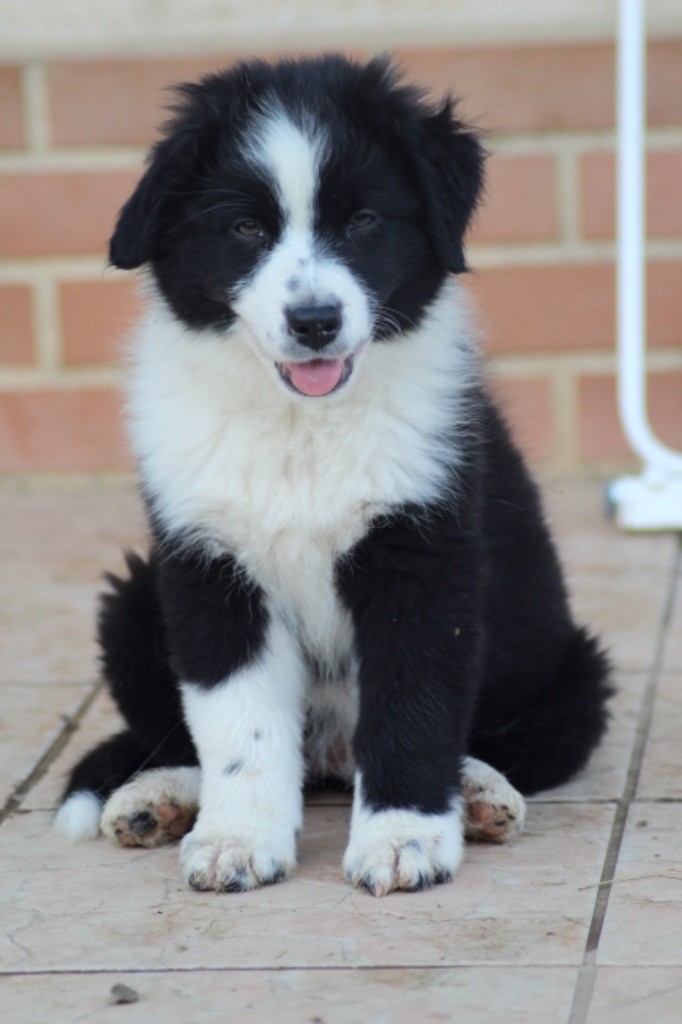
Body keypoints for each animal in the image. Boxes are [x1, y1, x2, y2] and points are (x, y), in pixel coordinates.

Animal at [54, 54, 612, 897]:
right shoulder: (207, 565)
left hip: (575, 677)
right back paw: (158, 800)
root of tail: (329, 760)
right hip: (132, 604)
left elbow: (414, 705)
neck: (303, 426)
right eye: (246, 229)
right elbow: (234, 717)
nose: (314, 321)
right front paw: (238, 839)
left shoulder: (422, 557)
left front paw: (404, 841)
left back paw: (478, 792)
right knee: (178, 736)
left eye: (363, 223)